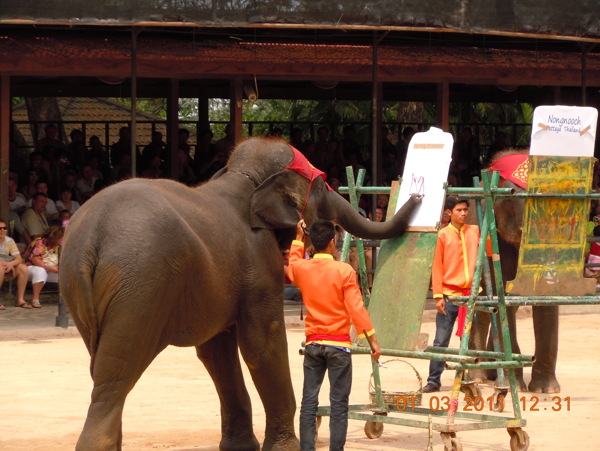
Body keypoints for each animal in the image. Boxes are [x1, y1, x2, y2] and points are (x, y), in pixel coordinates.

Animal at [58, 139, 420, 451]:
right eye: (322, 186)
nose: (417, 196)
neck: (243, 178)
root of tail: (91, 234)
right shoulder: (260, 263)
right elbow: (262, 343)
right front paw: (285, 448)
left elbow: (216, 351)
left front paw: (241, 447)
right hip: (140, 284)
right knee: (116, 374)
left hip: (83, 289)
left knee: (101, 369)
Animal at [472, 150, 560, 394]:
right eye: (515, 198)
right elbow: (503, 296)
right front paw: (518, 387)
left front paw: (546, 391)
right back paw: (480, 377)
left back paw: (492, 373)